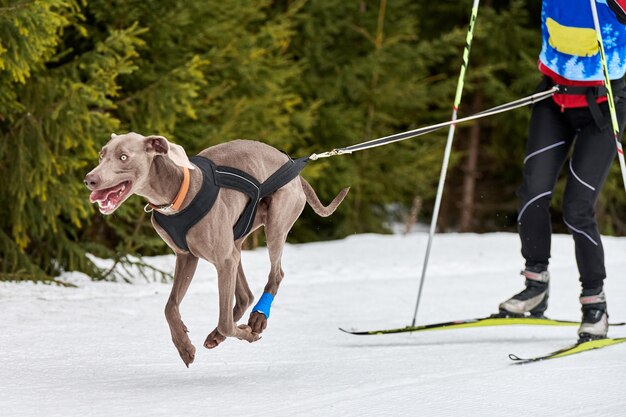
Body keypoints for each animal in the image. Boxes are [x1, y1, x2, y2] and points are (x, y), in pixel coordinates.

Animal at [83, 132, 346, 364]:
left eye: (123, 157)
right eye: (101, 155)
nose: (89, 180)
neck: (177, 193)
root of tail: (296, 170)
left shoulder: (222, 260)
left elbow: (226, 323)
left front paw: (246, 334)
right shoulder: (186, 256)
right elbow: (170, 307)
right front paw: (184, 347)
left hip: (275, 224)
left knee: (275, 274)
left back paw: (256, 319)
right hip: (237, 238)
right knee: (244, 295)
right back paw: (218, 335)